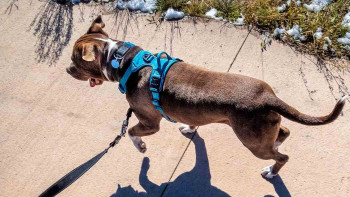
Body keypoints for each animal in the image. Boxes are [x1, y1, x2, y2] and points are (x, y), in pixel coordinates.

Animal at [66, 15, 348, 179]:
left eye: (75, 61)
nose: (66, 70)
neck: (123, 59)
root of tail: (267, 96)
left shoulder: (149, 123)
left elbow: (132, 133)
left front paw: (141, 147)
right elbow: (192, 122)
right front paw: (189, 129)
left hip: (252, 142)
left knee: (282, 157)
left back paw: (271, 171)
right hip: (263, 129)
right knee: (284, 132)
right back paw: (278, 143)